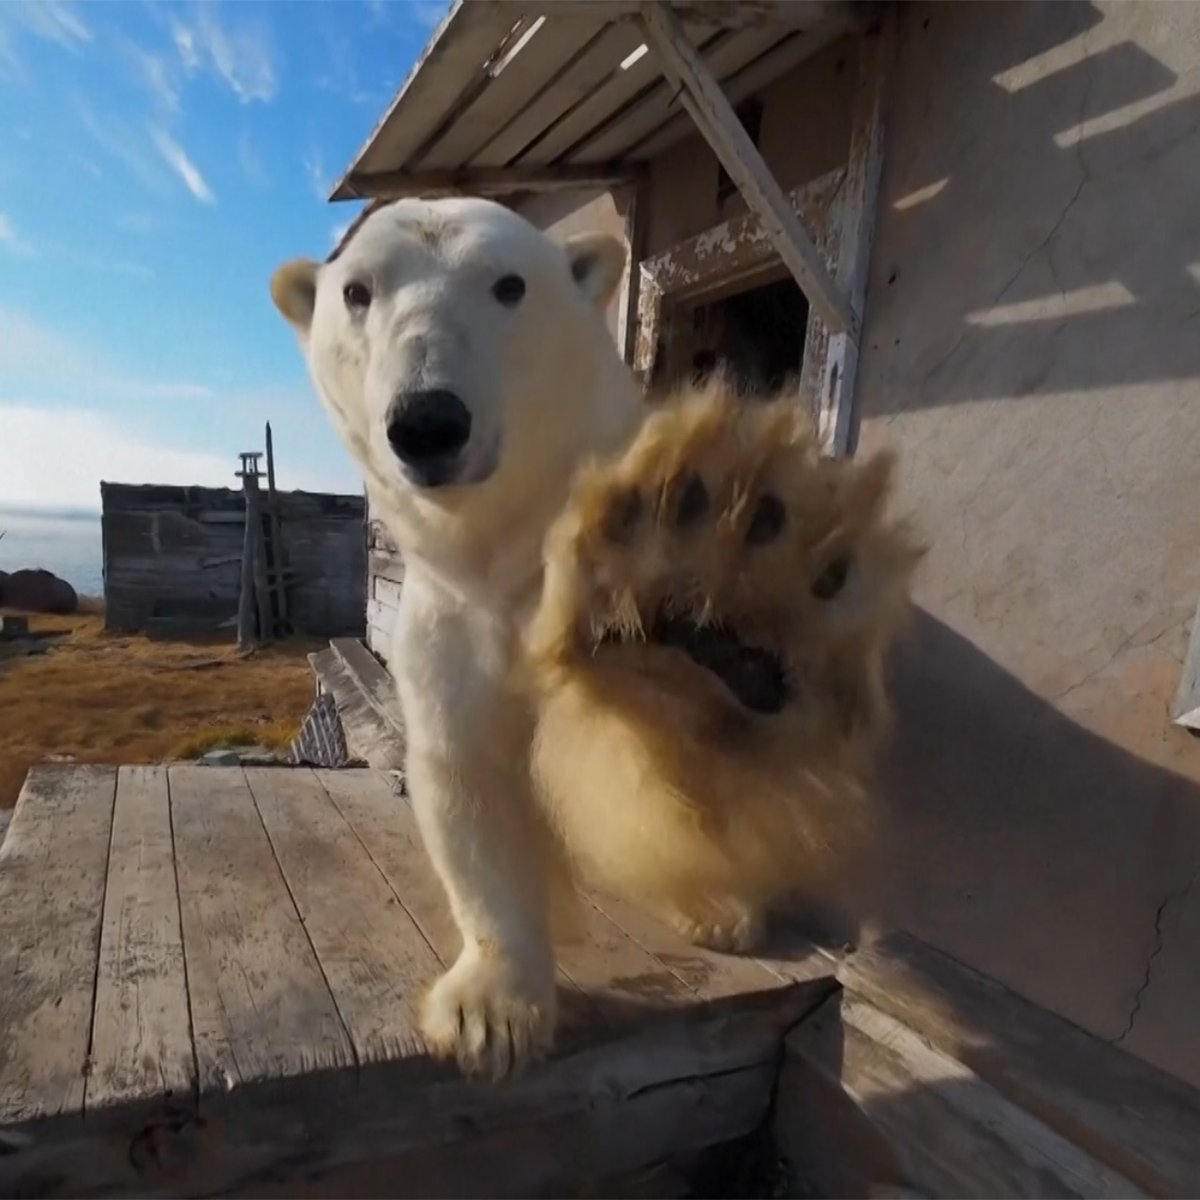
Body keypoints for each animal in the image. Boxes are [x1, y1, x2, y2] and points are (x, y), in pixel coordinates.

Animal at [270, 197, 920, 1080]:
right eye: (358, 293)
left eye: (509, 284)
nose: (428, 421)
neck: (515, 548)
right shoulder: (450, 621)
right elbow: (470, 780)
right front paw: (490, 1011)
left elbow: (651, 768)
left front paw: (697, 619)